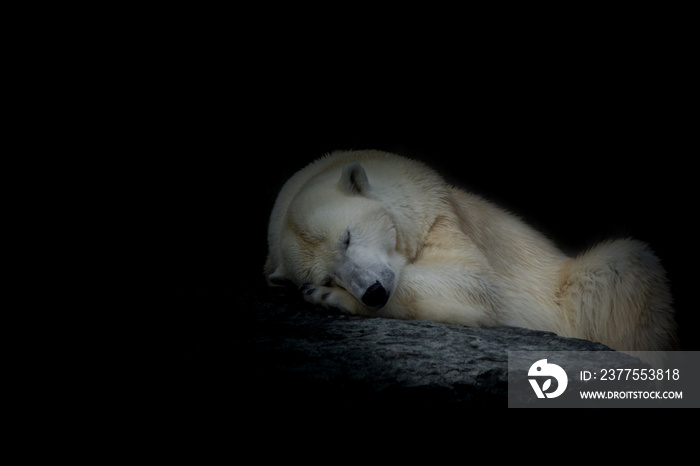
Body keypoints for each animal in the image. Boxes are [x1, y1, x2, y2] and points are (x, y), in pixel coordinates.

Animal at [264, 151, 680, 358]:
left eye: (347, 238)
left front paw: (327, 299)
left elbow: (470, 282)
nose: (374, 292)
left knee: (622, 265)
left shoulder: (440, 214)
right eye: (326, 273)